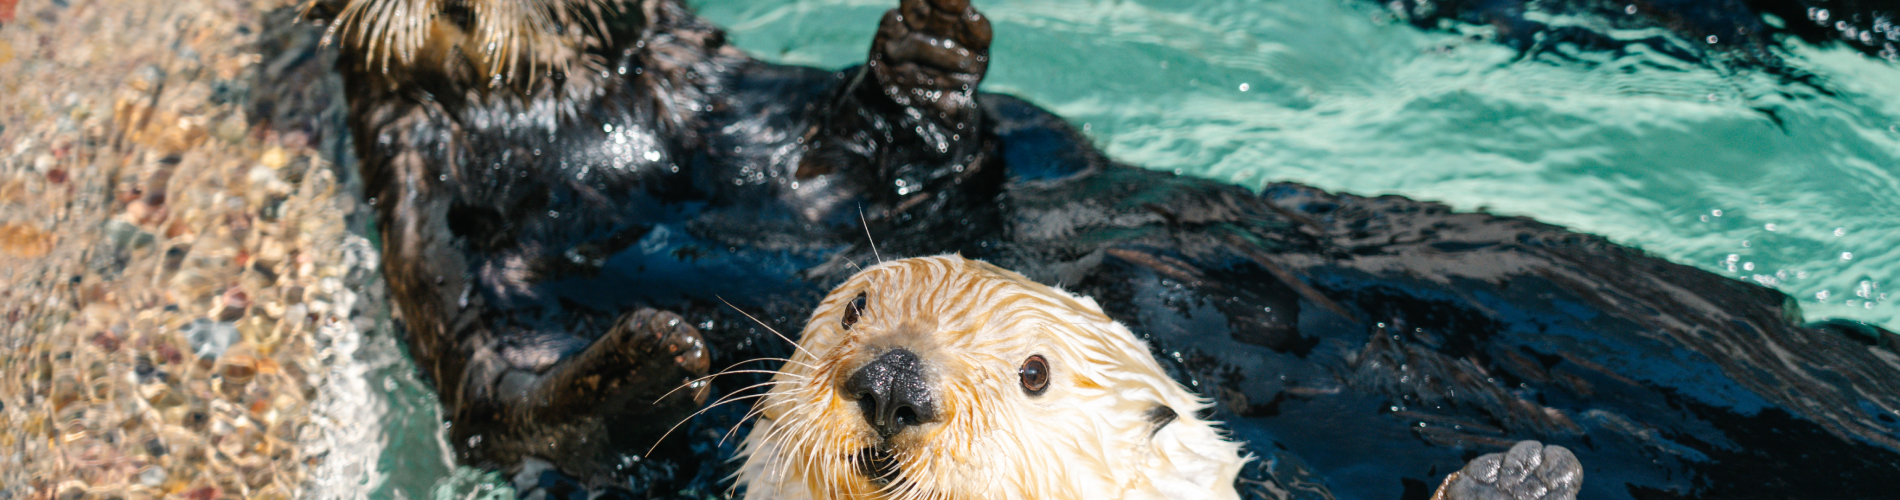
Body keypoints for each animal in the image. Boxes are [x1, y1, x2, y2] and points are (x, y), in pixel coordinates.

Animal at [307, 0, 1900, 498]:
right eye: (849, 316)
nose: (897, 384)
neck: (592, 136)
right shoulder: (434, 248)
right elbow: (505, 399)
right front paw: (651, 355)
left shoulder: (769, 124)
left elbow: (926, 169)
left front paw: (928, 53)